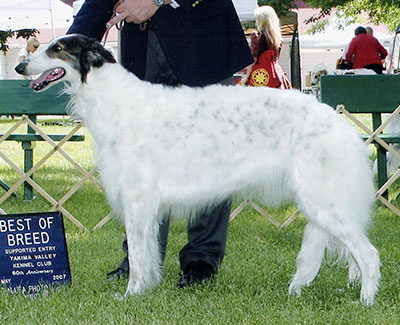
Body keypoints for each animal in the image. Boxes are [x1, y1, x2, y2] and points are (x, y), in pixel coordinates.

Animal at [16, 34, 382, 306]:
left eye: (57, 49)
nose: (20, 65)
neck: (114, 100)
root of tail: (339, 123)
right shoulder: (148, 209)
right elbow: (146, 255)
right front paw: (144, 289)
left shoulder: (137, 200)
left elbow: (137, 255)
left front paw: (130, 294)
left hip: (324, 202)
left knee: (369, 253)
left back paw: (365, 301)